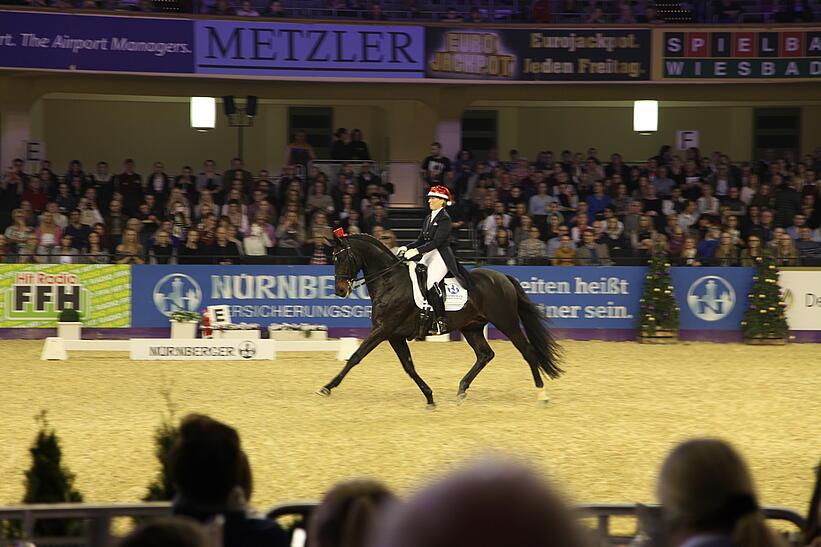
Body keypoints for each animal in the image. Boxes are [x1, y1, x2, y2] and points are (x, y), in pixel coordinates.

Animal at [318, 233, 560, 408]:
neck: (390, 281)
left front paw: (328, 387)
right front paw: (430, 397)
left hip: (506, 322)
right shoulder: (394, 335)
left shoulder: (383, 329)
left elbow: (355, 357)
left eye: (343, 258)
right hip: (471, 327)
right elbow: (409, 366)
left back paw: (542, 396)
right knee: (485, 354)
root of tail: (503, 277)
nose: (340, 290)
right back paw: (461, 390)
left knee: (527, 352)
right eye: (333, 258)